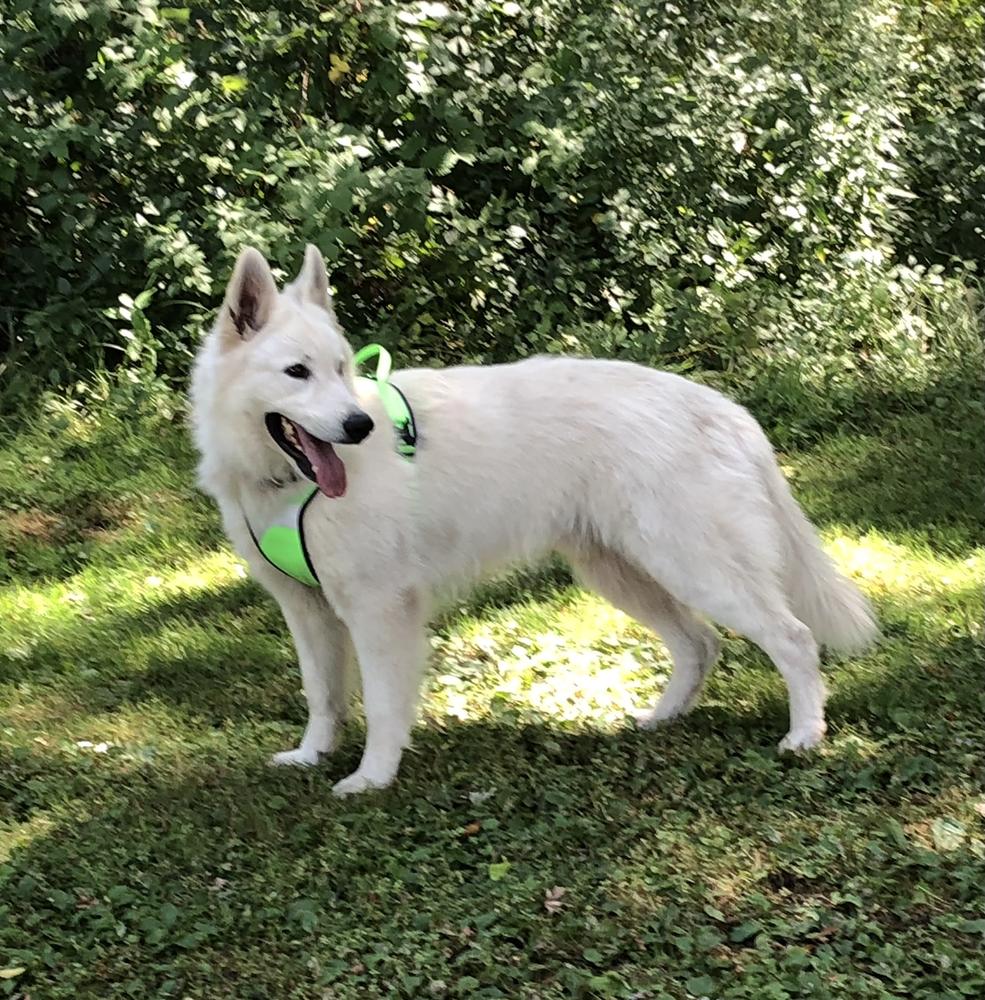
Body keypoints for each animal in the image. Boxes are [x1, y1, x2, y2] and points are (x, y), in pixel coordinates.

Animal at [192, 246, 876, 792]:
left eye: (340, 369)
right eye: (297, 372)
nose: (359, 427)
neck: (287, 485)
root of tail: (724, 409)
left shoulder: (378, 609)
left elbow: (384, 705)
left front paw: (372, 778)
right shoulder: (307, 610)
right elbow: (324, 695)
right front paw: (312, 756)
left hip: (694, 568)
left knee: (792, 638)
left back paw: (805, 736)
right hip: (622, 574)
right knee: (700, 644)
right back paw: (661, 719)